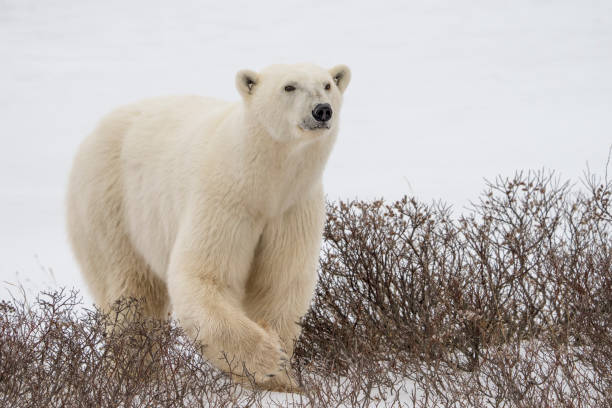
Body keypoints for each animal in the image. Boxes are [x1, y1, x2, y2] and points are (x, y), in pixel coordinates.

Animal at [65, 63, 350, 388]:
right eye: (289, 86)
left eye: (327, 85)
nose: (322, 110)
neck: (262, 180)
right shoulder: (224, 199)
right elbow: (205, 276)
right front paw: (268, 358)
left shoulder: (292, 209)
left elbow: (279, 282)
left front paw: (283, 381)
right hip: (111, 207)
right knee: (133, 294)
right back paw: (133, 372)